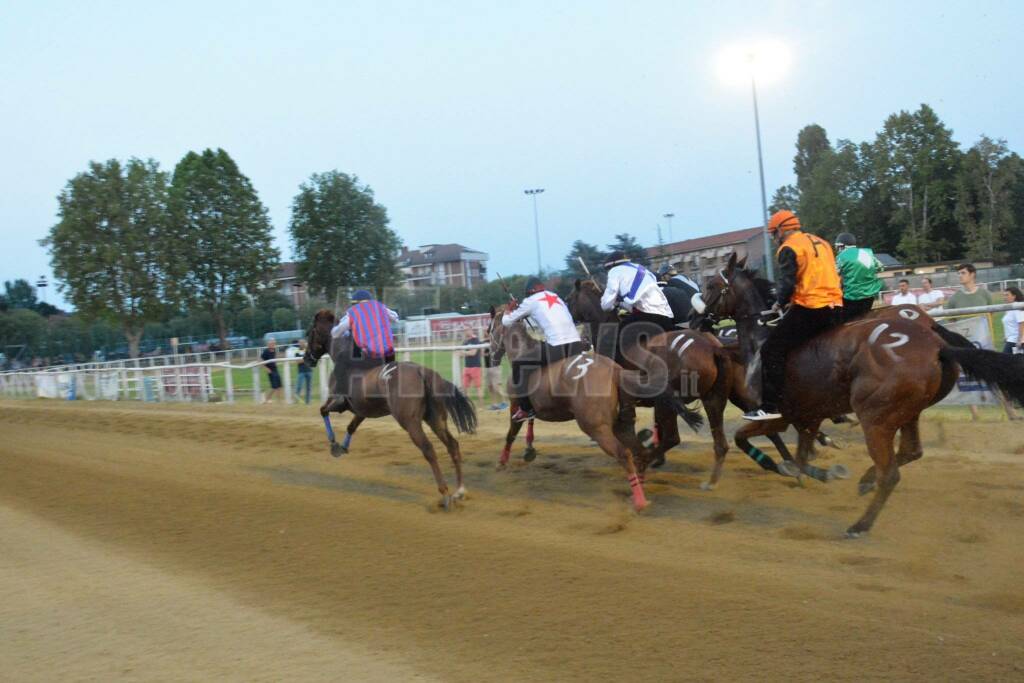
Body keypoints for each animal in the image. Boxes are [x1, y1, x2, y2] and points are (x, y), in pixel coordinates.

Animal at [303, 313, 479, 509]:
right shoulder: (361, 410)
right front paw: (342, 447)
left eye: (310, 333)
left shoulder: (336, 401)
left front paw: (334, 443)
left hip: (410, 422)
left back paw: (445, 493)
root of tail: (422, 371)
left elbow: (323, 410)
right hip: (436, 419)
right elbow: (351, 427)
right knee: (452, 445)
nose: (306, 358)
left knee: (428, 449)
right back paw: (460, 490)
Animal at [485, 303, 700, 507]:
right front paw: (529, 449)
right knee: (640, 451)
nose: (491, 356)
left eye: (489, 328)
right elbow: (529, 423)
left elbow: (512, 433)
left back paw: (639, 501)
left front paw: (502, 462)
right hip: (622, 424)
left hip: (596, 427)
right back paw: (641, 482)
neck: (522, 349)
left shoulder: (515, 405)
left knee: (625, 453)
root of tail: (616, 371)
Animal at [700, 253, 1024, 536]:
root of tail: (936, 343)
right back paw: (865, 482)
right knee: (910, 451)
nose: (697, 318)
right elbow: (801, 456)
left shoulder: (781, 414)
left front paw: (786, 467)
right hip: (908, 411)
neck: (760, 341)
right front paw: (812, 472)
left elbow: (746, 438)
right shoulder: (810, 415)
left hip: (876, 417)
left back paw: (860, 524)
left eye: (710, 286)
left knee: (890, 472)